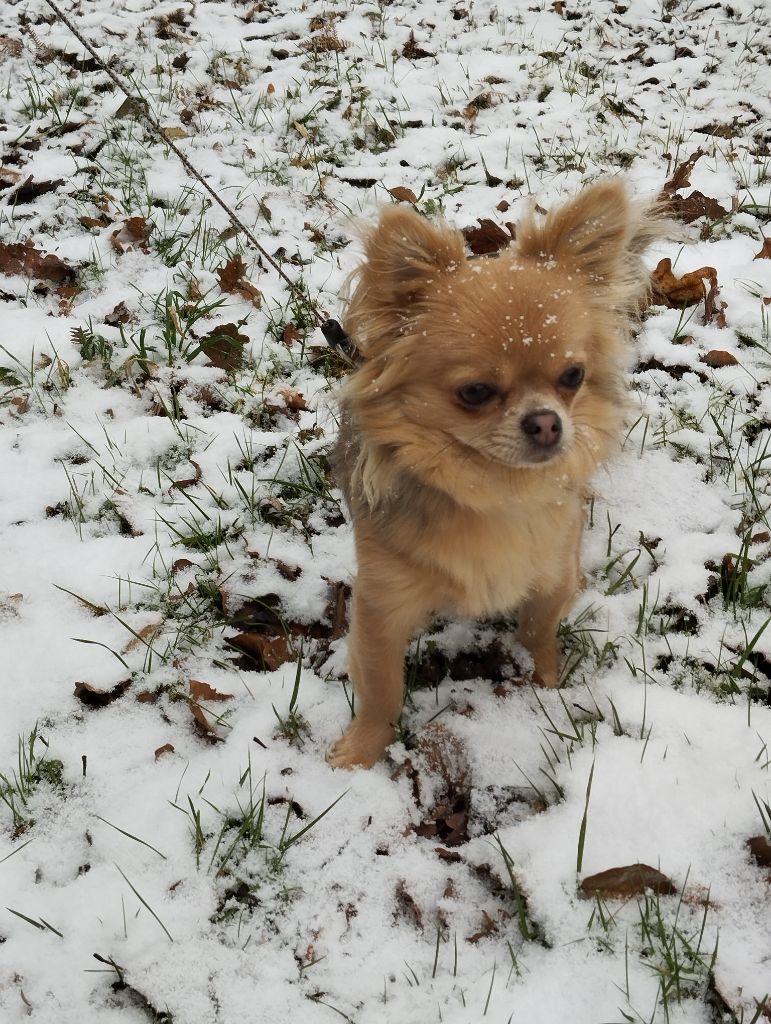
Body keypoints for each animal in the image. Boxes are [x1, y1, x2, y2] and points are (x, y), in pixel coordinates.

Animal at [327, 178, 659, 770]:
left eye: (572, 376)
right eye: (476, 392)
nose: (547, 423)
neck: (495, 490)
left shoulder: (550, 573)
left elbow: (538, 631)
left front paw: (547, 688)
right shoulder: (381, 607)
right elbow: (383, 688)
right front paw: (362, 754)